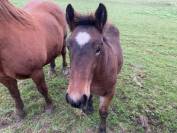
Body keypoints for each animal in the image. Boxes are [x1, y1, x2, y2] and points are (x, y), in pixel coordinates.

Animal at [65, 3, 123, 133]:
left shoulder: (110, 93)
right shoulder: (88, 86)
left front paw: (102, 129)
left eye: (98, 48)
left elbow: (103, 112)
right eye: (68, 46)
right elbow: (90, 95)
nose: (74, 100)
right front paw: (89, 107)